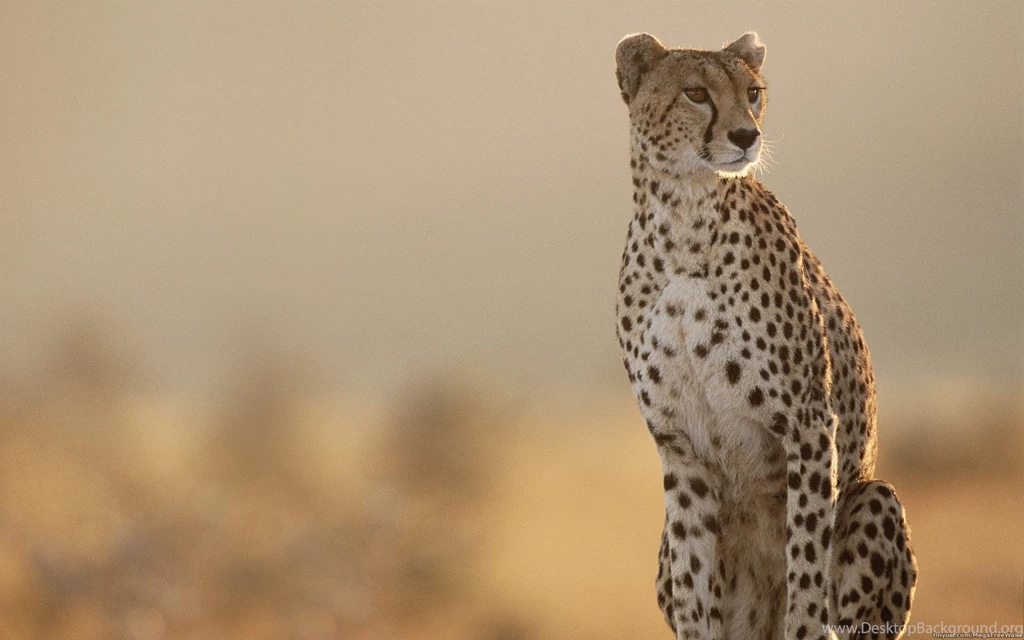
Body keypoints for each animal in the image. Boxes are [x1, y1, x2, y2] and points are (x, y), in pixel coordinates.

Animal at [613, 32, 917, 640]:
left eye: (752, 92)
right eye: (696, 93)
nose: (746, 134)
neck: (683, 222)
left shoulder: (808, 422)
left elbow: (806, 562)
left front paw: (802, 616)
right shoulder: (680, 449)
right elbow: (694, 582)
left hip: (874, 497)